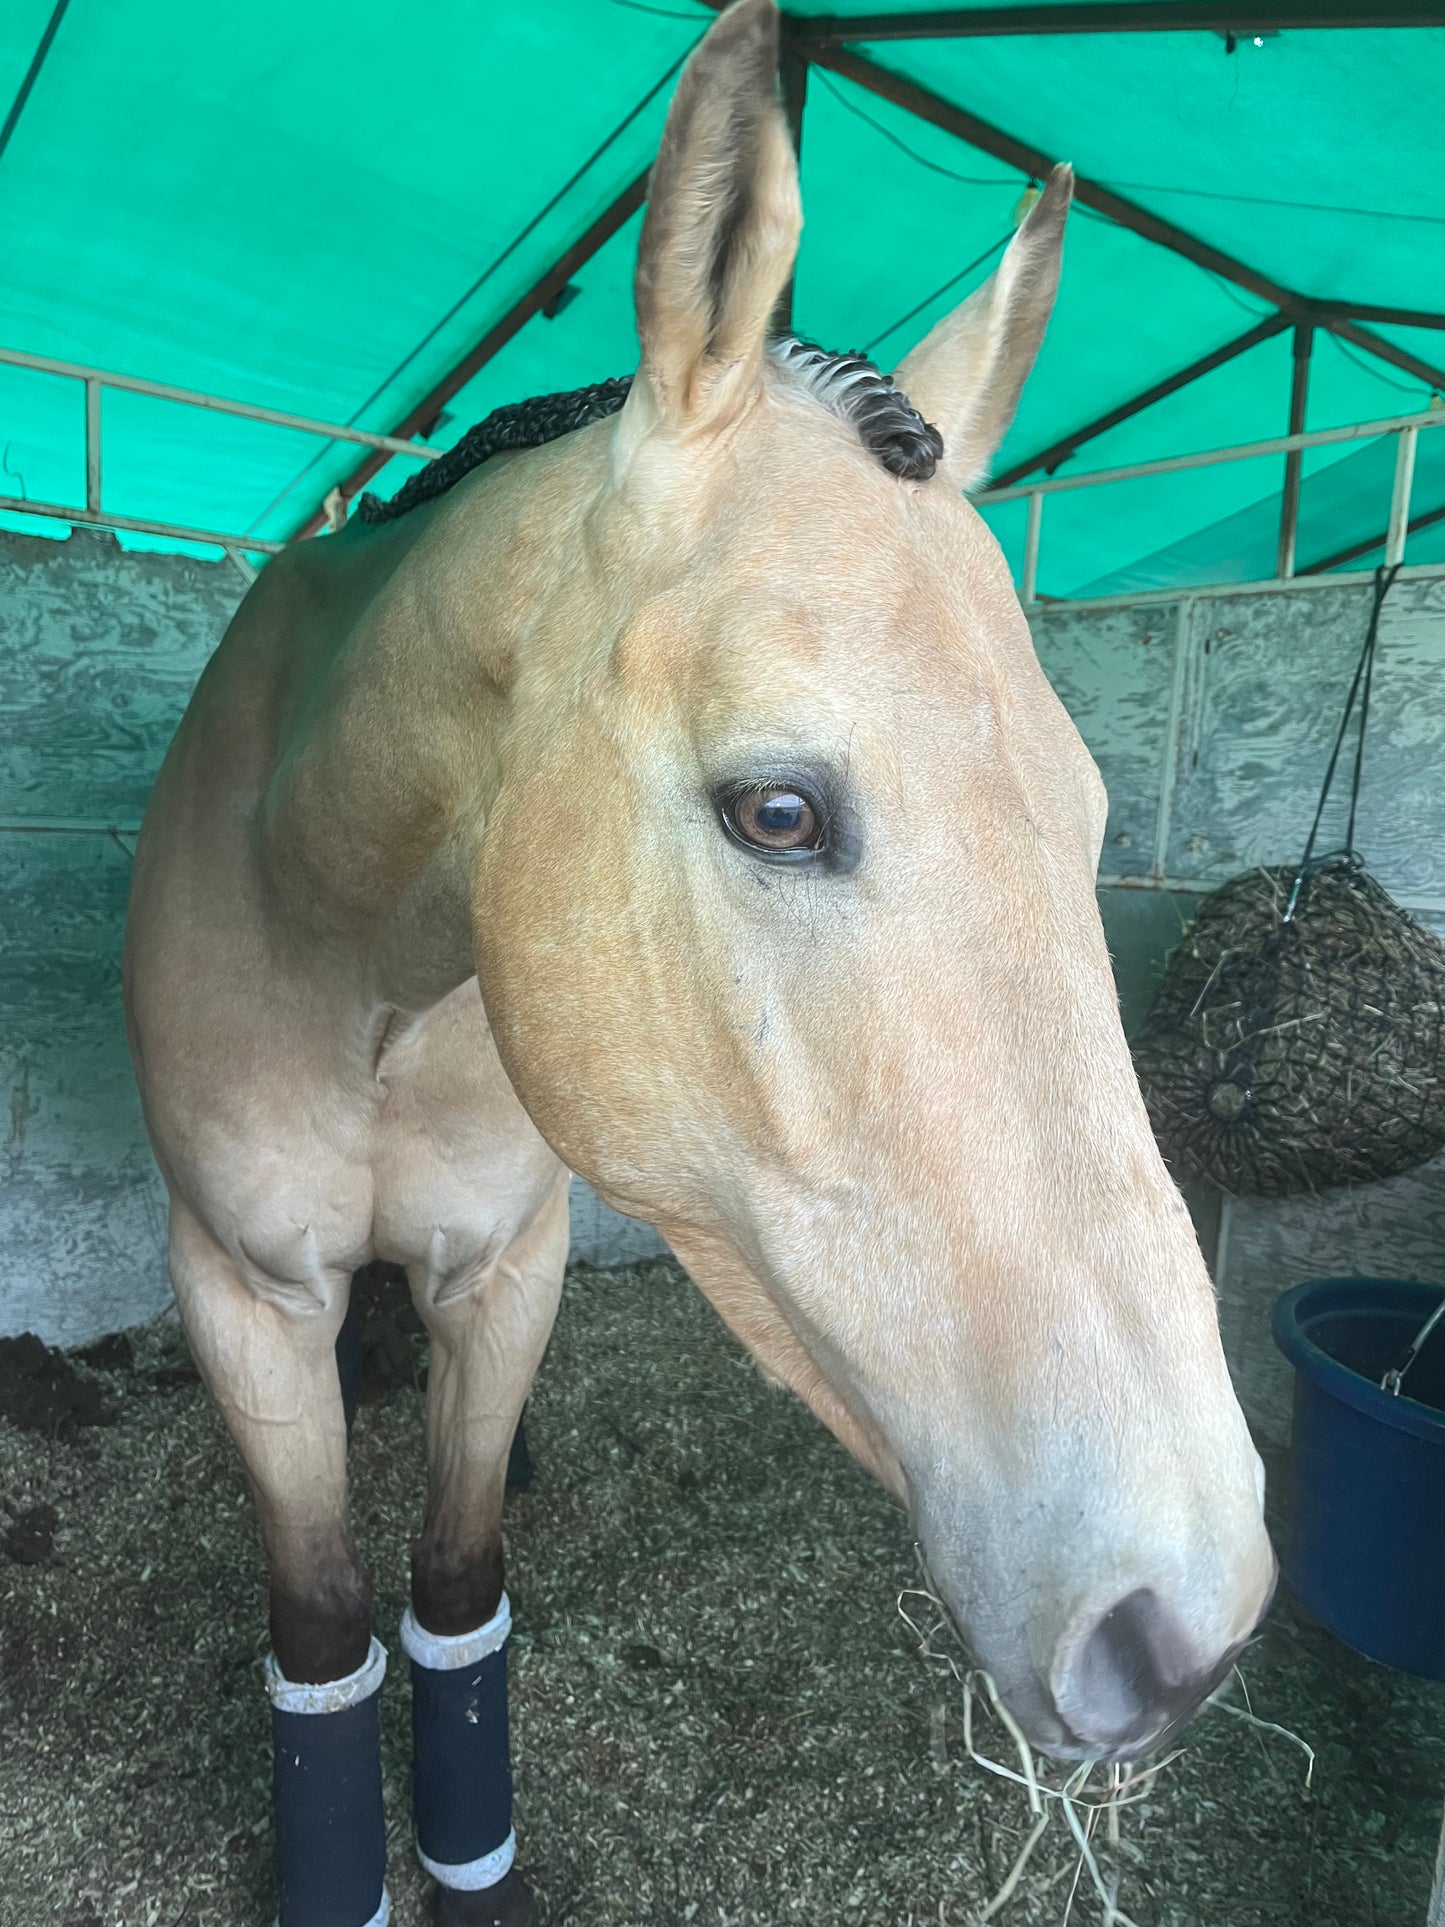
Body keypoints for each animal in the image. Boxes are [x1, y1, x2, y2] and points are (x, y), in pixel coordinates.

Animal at [123, 4, 1274, 1922]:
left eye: (1092, 814)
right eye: (779, 811)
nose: (1182, 1625)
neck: (356, 953)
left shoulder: (504, 1273)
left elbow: (455, 1591)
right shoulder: (243, 1291)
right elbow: (326, 1625)